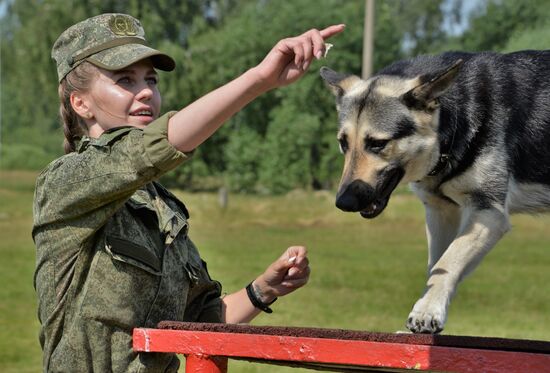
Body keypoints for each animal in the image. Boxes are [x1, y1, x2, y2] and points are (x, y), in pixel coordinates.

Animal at [322, 50, 550, 332]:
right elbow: (438, 266)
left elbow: (449, 260)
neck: (451, 122)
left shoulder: (488, 213)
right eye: (343, 143)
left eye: (377, 144)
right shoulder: (441, 213)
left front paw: (427, 310)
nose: (344, 202)